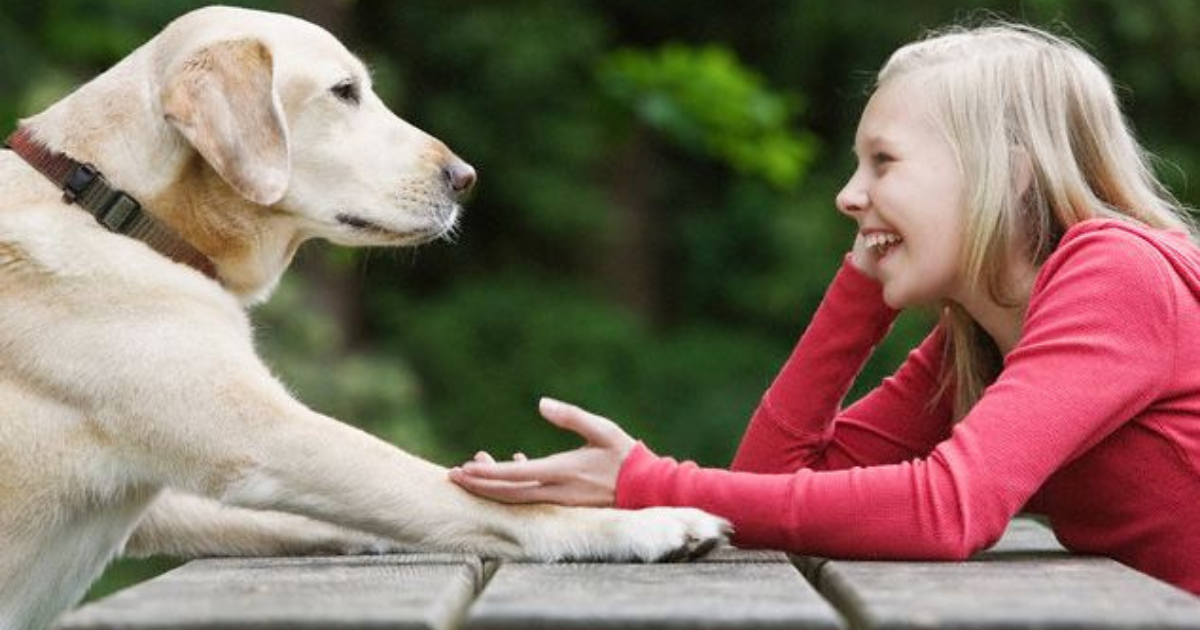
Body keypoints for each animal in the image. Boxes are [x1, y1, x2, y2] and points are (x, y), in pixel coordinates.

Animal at [0, 8, 724, 628]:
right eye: (344, 92)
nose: (465, 177)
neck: (111, 200)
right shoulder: (267, 437)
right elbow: (450, 491)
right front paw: (645, 523)